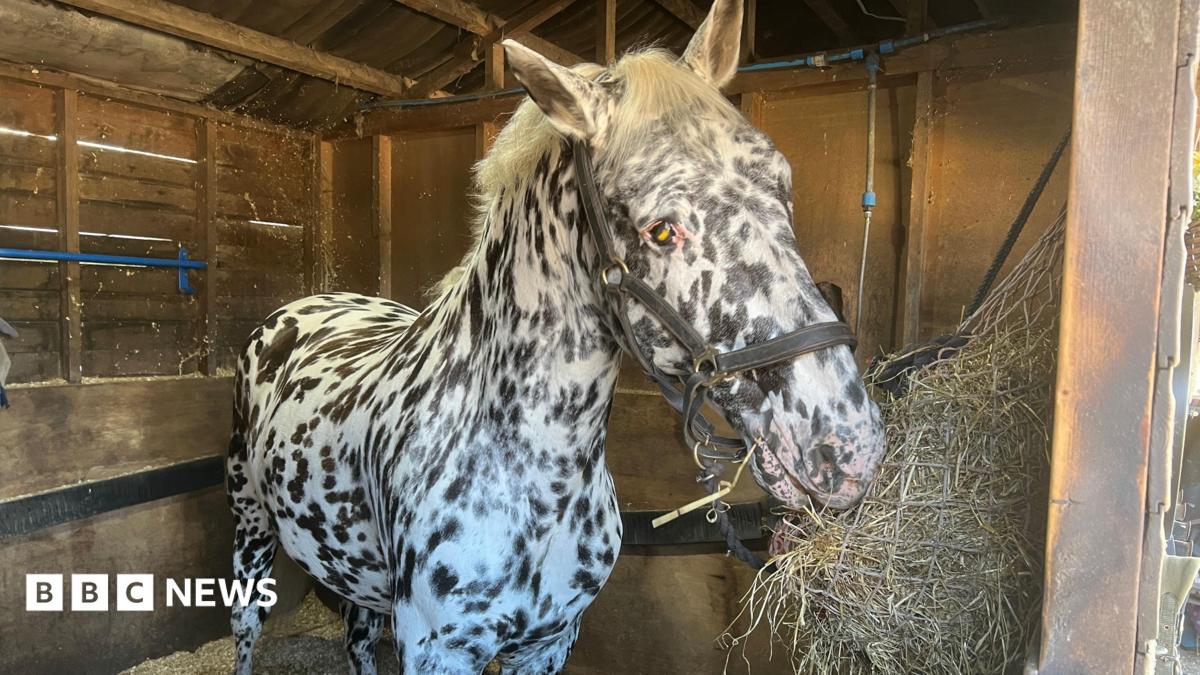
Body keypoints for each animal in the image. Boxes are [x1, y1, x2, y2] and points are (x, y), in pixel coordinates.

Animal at [224, 1, 887, 672]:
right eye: (661, 230)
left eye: (782, 184)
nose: (847, 444)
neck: (532, 475)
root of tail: (302, 308)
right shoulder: (438, 650)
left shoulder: (549, 643)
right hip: (250, 529)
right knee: (248, 626)